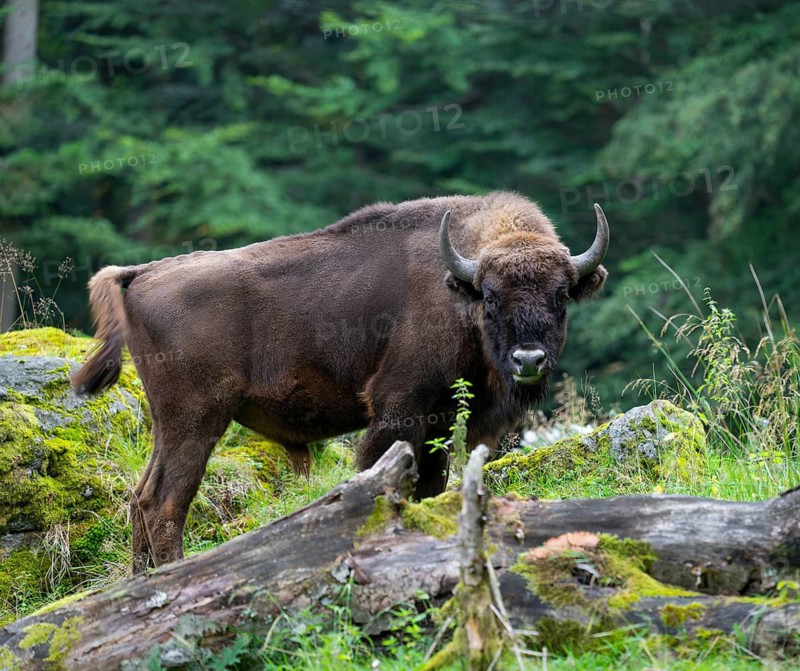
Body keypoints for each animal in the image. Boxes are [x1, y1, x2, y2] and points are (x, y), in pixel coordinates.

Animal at [72, 191, 609, 572]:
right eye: (491, 298)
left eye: (561, 295)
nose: (528, 359)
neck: (459, 290)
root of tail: (141, 273)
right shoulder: (399, 409)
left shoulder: (437, 424)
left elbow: (430, 487)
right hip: (197, 419)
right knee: (164, 503)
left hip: (169, 425)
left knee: (141, 497)